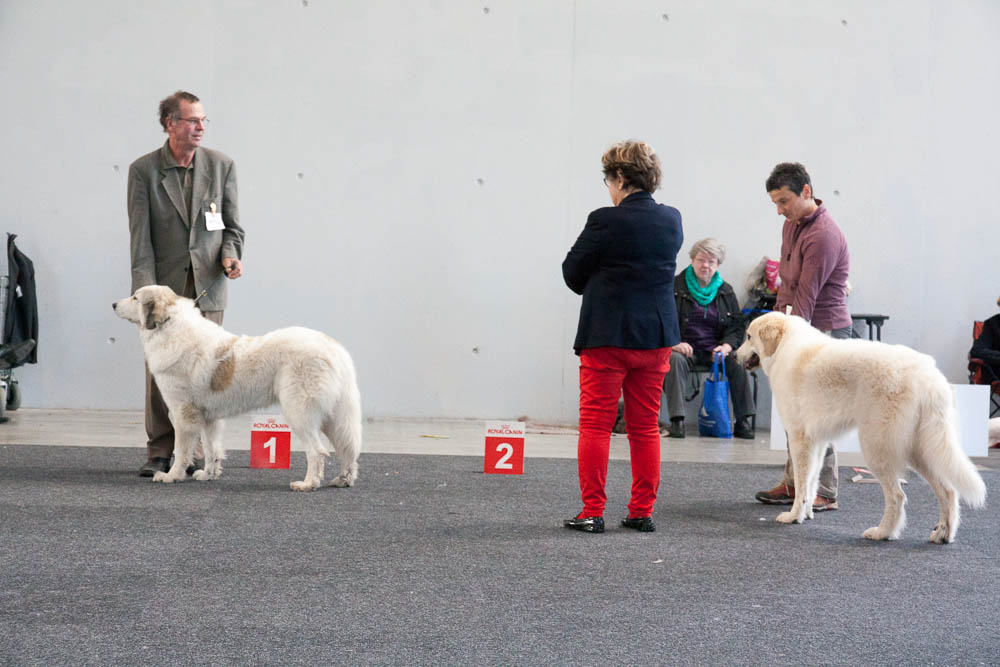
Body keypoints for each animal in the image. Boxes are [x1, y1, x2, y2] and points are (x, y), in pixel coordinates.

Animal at [114, 284, 364, 494]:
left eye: (135, 297)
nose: (114, 304)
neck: (169, 326)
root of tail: (333, 346)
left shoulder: (182, 413)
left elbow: (182, 449)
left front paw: (171, 476)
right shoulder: (208, 418)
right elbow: (211, 448)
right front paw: (209, 474)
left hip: (299, 412)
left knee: (317, 451)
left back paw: (307, 484)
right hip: (334, 416)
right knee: (347, 447)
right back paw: (344, 479)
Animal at [736, 314, 984, 544]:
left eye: (748, 337)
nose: (734, 355)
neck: (785, 347)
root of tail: (928, 376)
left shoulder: (799, 440)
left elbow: (801, 484)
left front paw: (793, 516)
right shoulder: (817, 442)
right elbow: (811, 482)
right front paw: (806, 515)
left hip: (876, 447)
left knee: (898, 496)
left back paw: (883, 532)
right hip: (920, 450)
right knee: (948, 491)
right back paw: (943, 533)